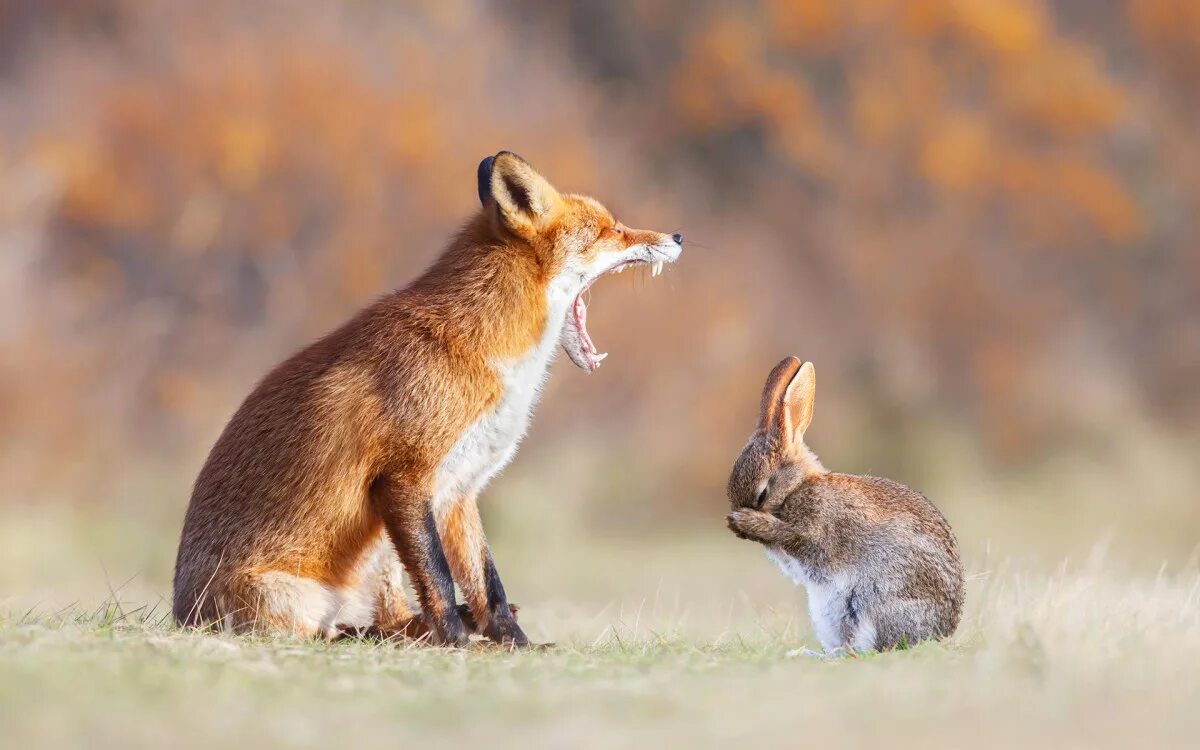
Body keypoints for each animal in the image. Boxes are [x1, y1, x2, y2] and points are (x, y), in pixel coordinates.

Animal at [175, 150, 686, 643]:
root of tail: (183, 615)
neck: (485, 351)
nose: (679, 235)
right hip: (299, 595)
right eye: (611, 229)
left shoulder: (460, 488)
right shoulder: (404, 477)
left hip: (379, 557)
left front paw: (514, 643)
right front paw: (456, 641)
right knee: (330, 631)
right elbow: (439, 577)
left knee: (392, 616)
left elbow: (488, 584)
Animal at [720, 352, 964, 652]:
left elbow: (795, 536)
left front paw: (746, 522)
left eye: (762, 494)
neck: (797, 486)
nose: (737, 527)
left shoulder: (815, 530)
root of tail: (941, 632)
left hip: (873, 599)